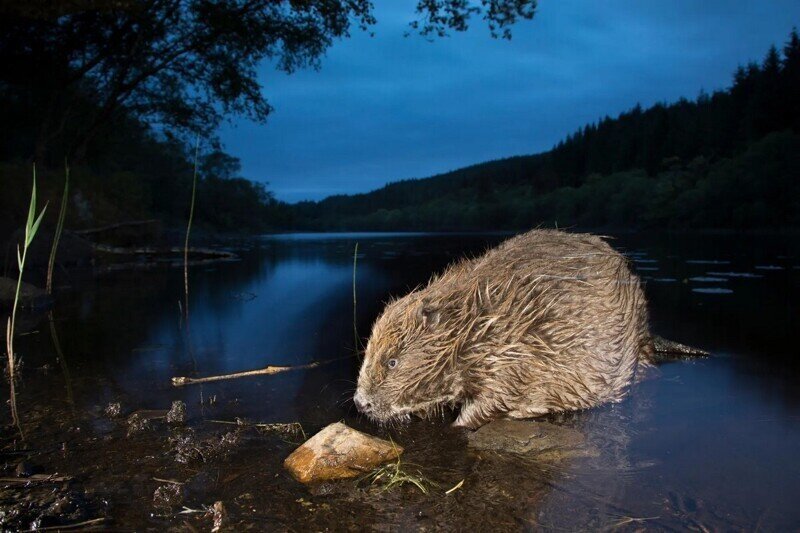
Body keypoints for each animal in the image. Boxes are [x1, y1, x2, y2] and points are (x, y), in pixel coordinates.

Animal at [354, 229, 704, 428]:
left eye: (392, 361)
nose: (360, 403)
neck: (479, 320)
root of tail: (648, 333)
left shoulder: (516, 358)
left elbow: (495, 399)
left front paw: (459, 424)